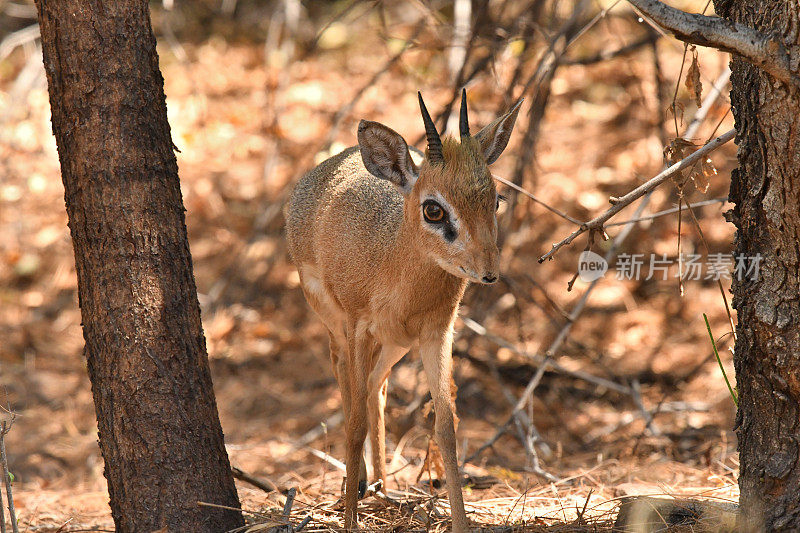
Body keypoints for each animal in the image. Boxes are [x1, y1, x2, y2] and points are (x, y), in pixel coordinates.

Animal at [284, 89, 520, 528]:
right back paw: (358, 485)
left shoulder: (436, 333)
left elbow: (446, 427)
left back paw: (381, 486)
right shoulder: (358, 327)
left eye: (496, 200)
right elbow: (354, 424)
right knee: (347, 382)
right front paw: (350, 523)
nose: (489, 273)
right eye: (434, 209)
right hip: (337, 327)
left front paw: (460, 523)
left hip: (396, 343)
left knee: (376, 386)